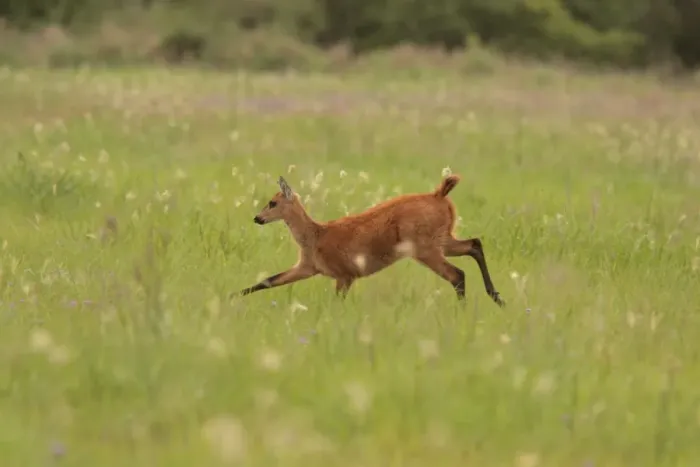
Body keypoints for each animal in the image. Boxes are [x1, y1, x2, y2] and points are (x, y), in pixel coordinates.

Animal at [233, 174, 505, 307]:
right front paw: (231, 296)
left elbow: (337, 303)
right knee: (474, 244)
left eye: (272, 202)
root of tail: (439, 195)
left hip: (425, 249)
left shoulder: (345, 275)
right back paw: (496, 297)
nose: (257, 218)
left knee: (457, 274)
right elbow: (269, 280)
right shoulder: (307, 267)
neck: (315, 236)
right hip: (443, 241)